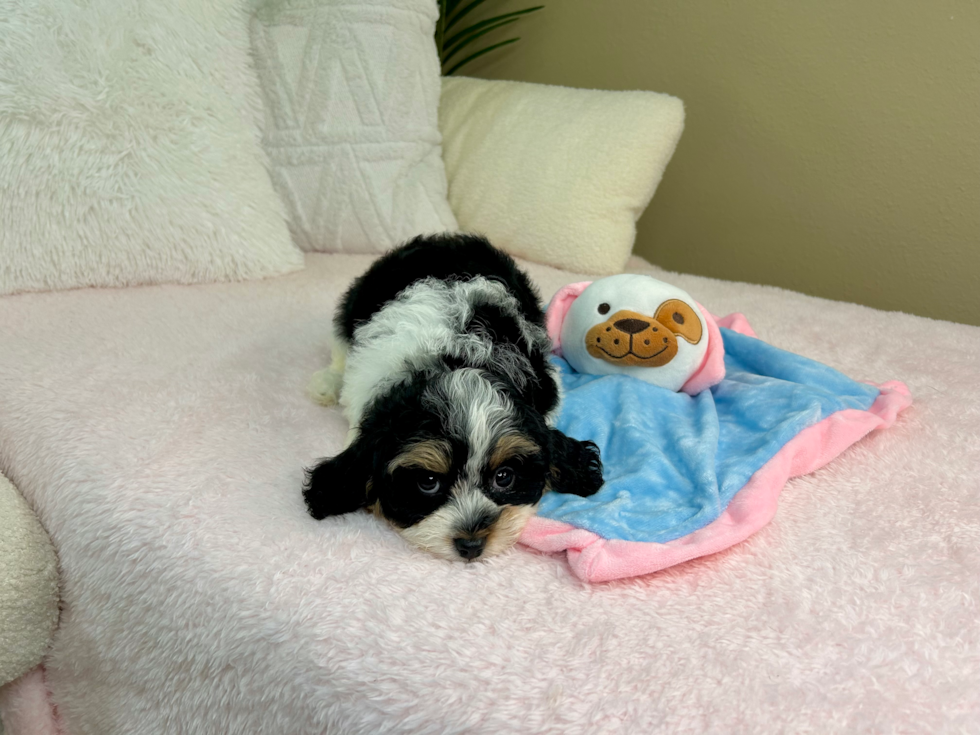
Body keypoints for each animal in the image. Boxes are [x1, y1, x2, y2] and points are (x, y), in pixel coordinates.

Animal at [302, 233, 600, 560]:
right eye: (428, 482)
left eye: (504, 477)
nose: (471, 545)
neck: (456, 358)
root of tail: (446, 239)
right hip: (357, 302)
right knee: (340, 346)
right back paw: (326, 383)